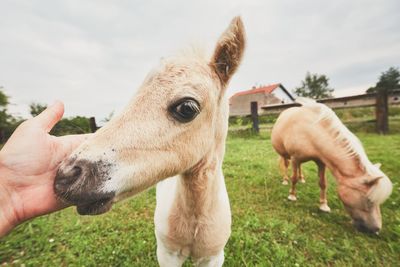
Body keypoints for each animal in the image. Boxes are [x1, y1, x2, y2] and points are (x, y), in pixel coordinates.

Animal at [270, 99, 392, 233]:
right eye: (369, 201)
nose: (376, 230)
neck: (310, 131)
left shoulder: (321, 161)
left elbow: (323, 183)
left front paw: (324, 205)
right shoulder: (295, 158)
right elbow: (294, 178)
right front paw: (292, 195)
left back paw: (302, 179)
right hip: (285, 155)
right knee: (286, 165)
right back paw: (285, 180)